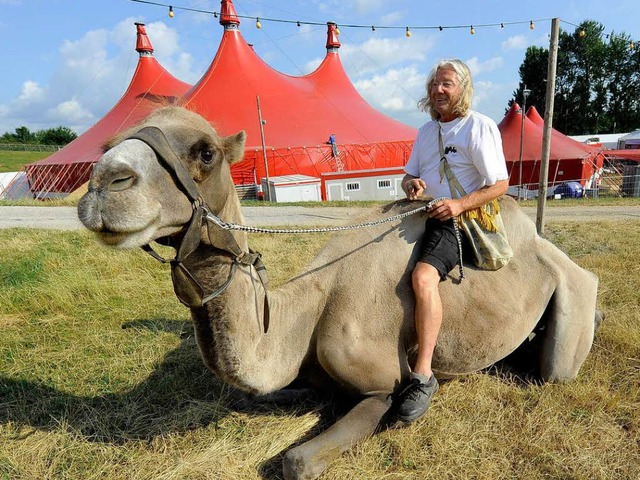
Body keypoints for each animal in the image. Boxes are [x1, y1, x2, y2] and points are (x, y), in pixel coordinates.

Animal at [76, 108, 600, 480]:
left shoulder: (379, 386)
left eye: (206, 152)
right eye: (108, 145)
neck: (307, 310)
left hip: (568, 295)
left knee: (560, 355)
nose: (104, 183)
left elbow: (297, 462)